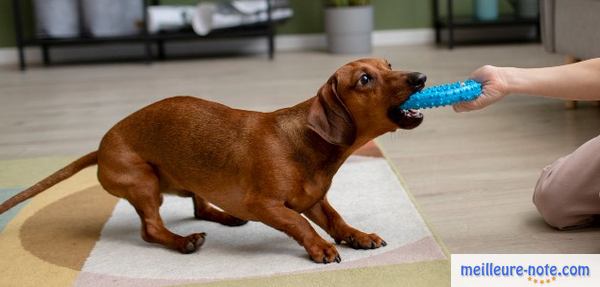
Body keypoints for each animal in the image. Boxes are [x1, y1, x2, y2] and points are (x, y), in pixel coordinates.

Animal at [0, 58, 424, 264]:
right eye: (364, 80)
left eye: (388, 65)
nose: (421, 77)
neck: (306, 142)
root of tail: (101, 147)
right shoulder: (266, 205)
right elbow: (300, 224)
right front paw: (320, 248)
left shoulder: (314, 199)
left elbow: (334, 219)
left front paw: (358, 235)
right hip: (144, 183)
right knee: (151, 229)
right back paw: (183, 241)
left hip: (189, 176)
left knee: (199, 204)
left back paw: (224, 217)